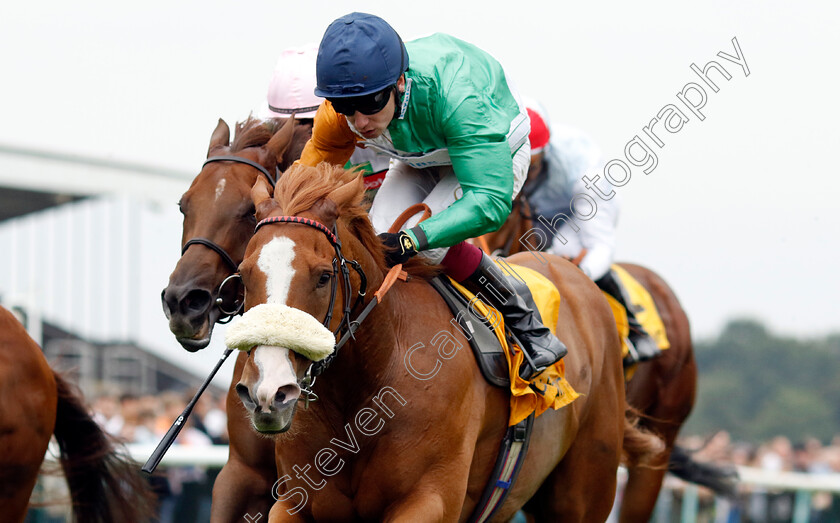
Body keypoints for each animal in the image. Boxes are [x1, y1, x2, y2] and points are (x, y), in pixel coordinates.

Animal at [230, 165, 664, 523]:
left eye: (322, 276)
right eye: (244, 275)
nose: (268, 391)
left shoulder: (429, 500)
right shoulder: (295, 503)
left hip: (585, 490)